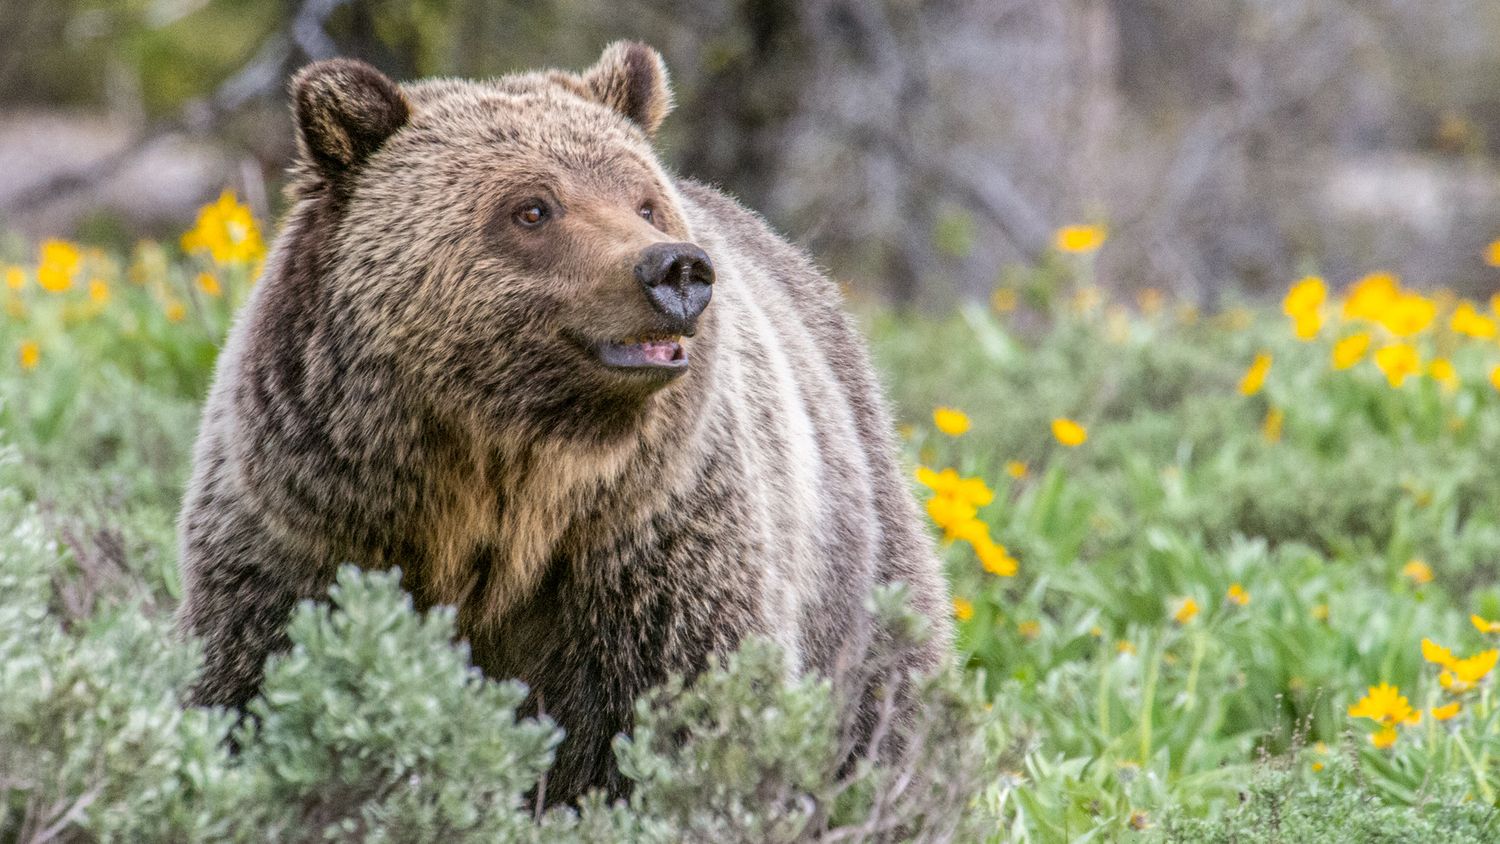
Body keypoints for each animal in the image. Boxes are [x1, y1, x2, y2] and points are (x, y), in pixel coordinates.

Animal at [175, 41, 951, 805]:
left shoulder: (650, 549)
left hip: (855, 548)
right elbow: (247, 677)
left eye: (644, 202)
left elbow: (676, 716)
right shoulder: (304, 532)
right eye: (533, 208)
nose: (677, 270)